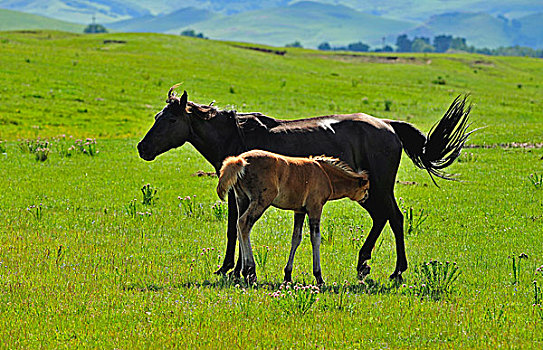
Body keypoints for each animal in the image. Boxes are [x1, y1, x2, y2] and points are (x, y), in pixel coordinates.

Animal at [139, 86, 472, 280]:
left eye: (170, 120)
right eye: (156, 116)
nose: (143, 148)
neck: (236, 136)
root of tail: (388, 125)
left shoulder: (239, 196)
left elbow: (233, 227)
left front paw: (229, 269)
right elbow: (236, 227)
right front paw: (234, 269)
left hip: (378, 187)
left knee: (394, 218)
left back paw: (396, 271)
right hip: (366, 191)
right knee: (383, 218)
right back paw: (364, 263)